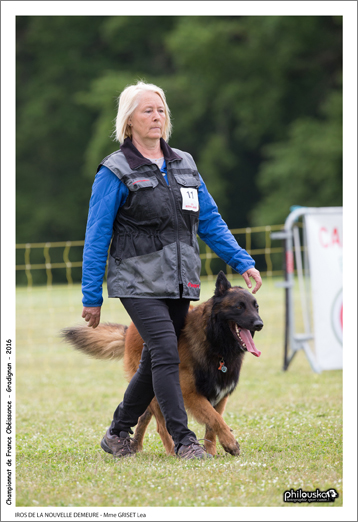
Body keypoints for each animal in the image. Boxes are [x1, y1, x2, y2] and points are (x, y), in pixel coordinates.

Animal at [62, 270, 262, 452]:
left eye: (256, 307)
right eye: (239, 307)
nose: (259, 324)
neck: (214, 341)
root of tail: (130, 329)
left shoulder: (220, 394)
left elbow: (212, 427)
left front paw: (215, 450)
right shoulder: (190, 393)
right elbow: (215, 418)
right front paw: (229, 442)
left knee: (142, 417)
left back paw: (134, 446)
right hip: (154, 389)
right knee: (161, 426)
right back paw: (172, 450)